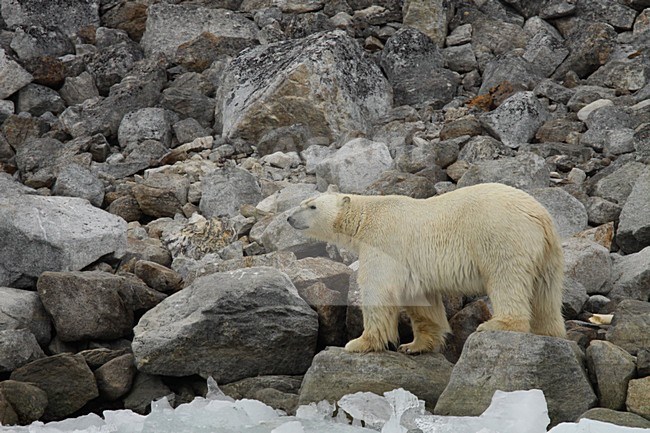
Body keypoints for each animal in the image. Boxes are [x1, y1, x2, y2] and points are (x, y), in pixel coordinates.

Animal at [286, 181, 564, 352]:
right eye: (302, 202)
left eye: (312, 206)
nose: (289, 218)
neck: (367, 217)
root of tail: (538, 214)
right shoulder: (412, 266)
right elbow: (421, 300)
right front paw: (414, 345)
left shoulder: (384, 244)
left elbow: (378, 290)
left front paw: (359, 343)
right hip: (548, 252)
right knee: (546, 291)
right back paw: (549, 332)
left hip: (501, 236)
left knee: (506, 278)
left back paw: (497, 324)